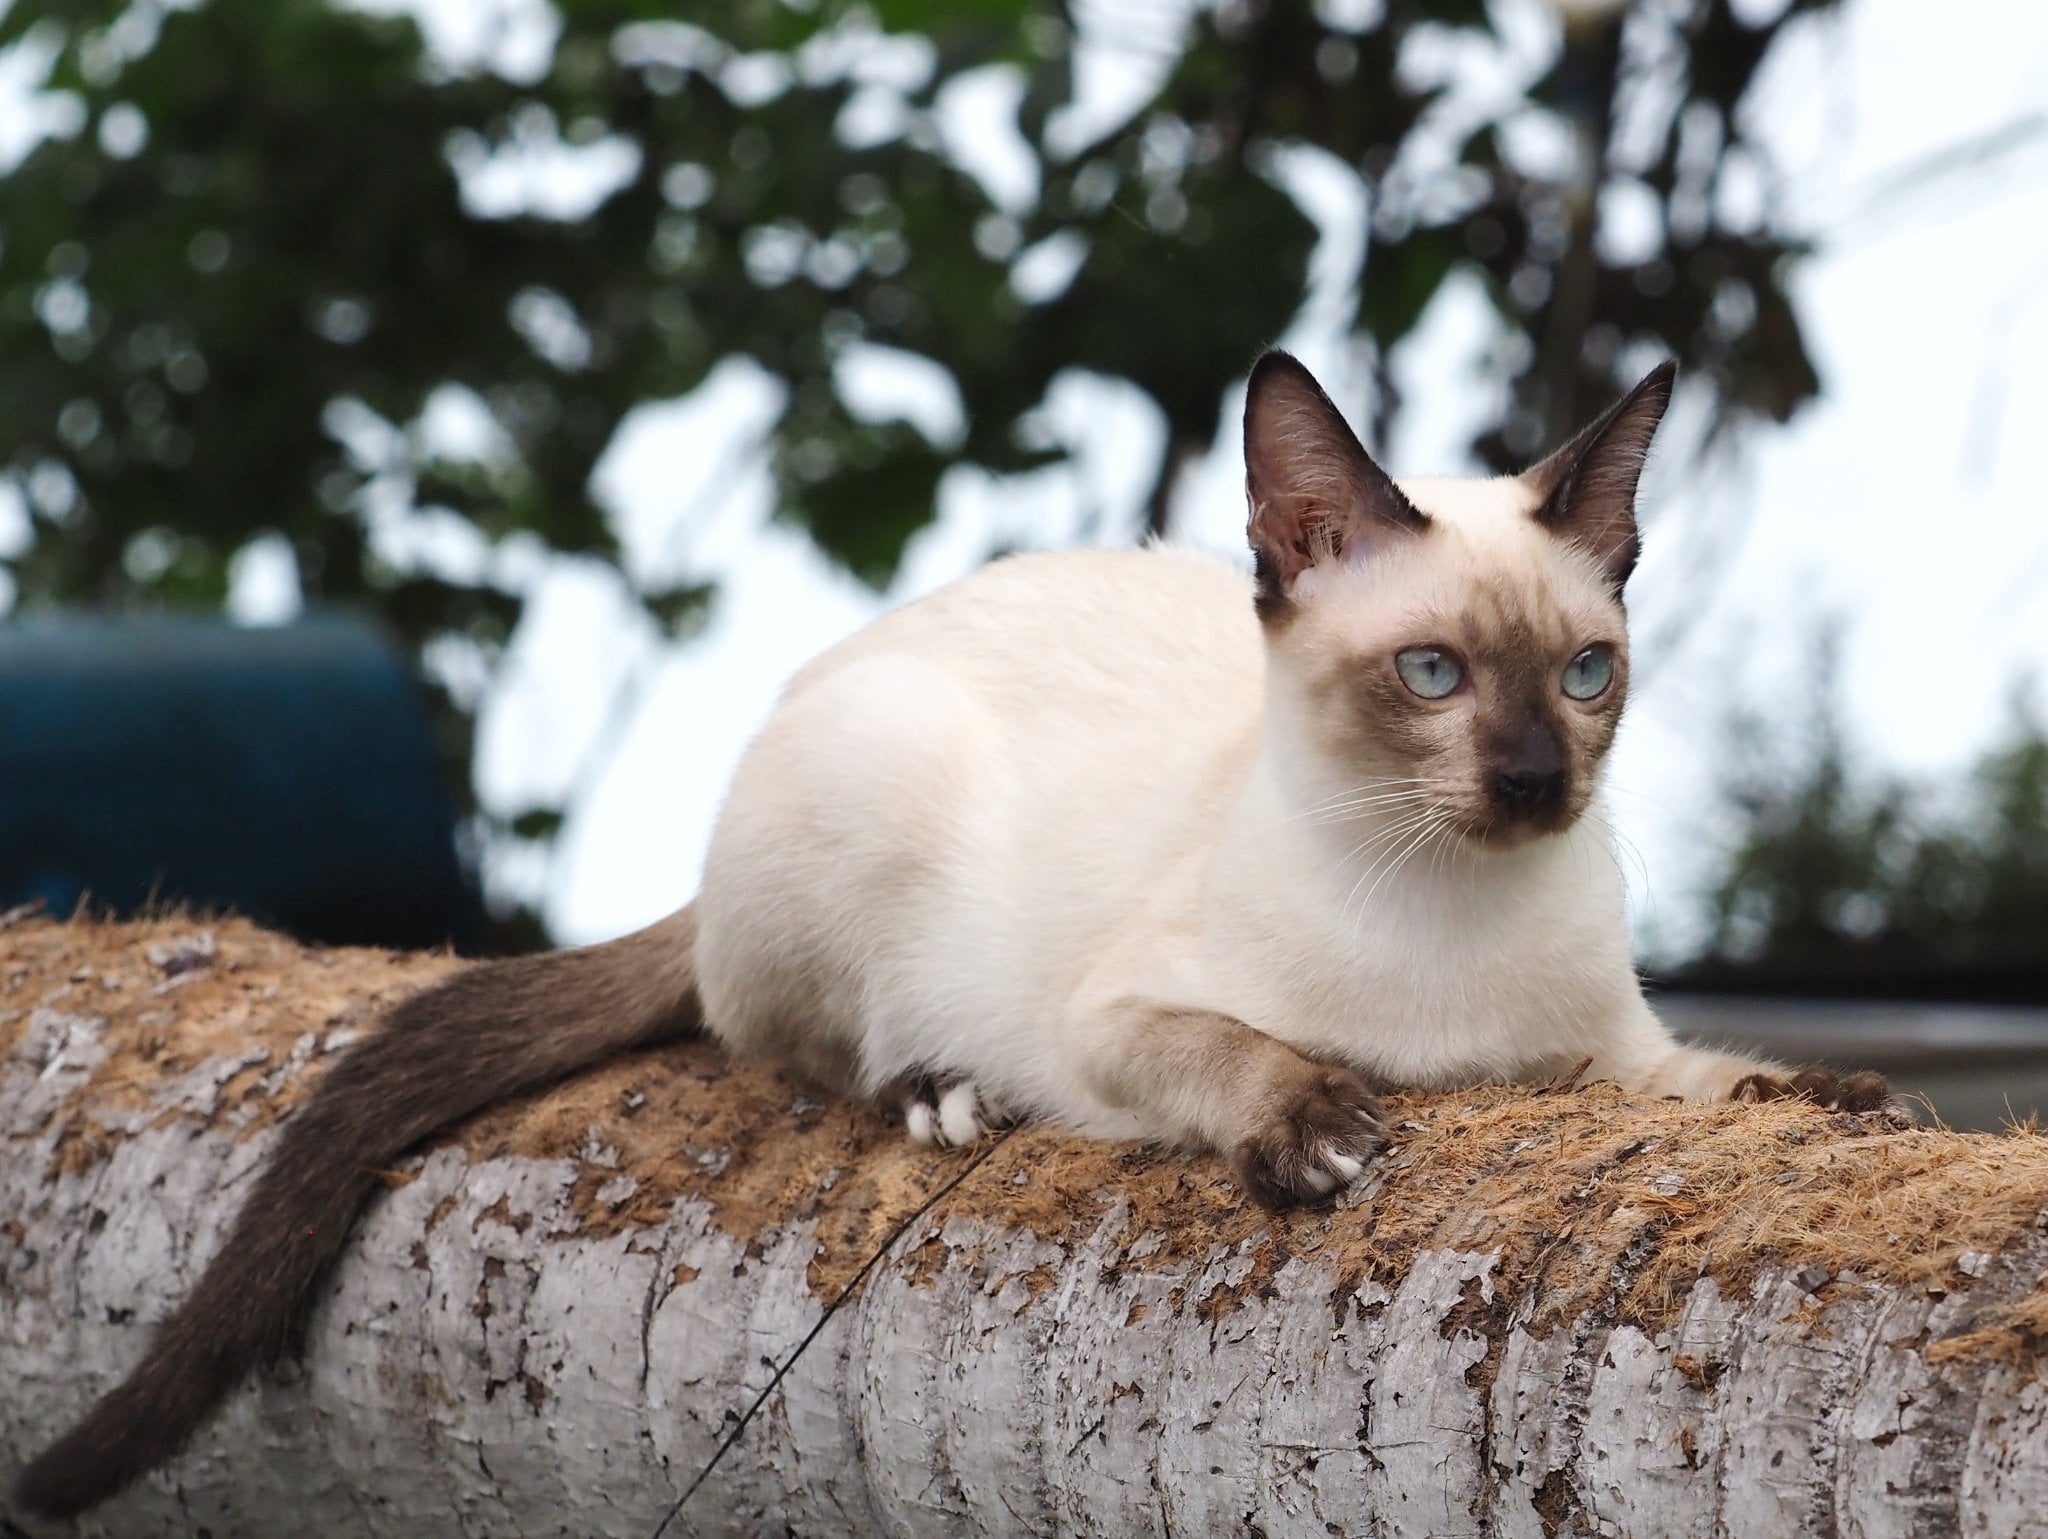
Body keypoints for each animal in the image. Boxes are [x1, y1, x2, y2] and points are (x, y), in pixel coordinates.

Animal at [14, 350, 1897, 1518]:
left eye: (1583, 672)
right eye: (1430, 673)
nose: (1531, 782)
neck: (1449, 925)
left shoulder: (1603, 1051)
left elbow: (1708, 1082)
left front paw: (1834, 1100)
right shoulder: (1112, 1019)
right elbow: (1233, 1049)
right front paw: (1315, 1129)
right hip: (881, 785)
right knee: (786, 1040)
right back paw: (937, 1092)